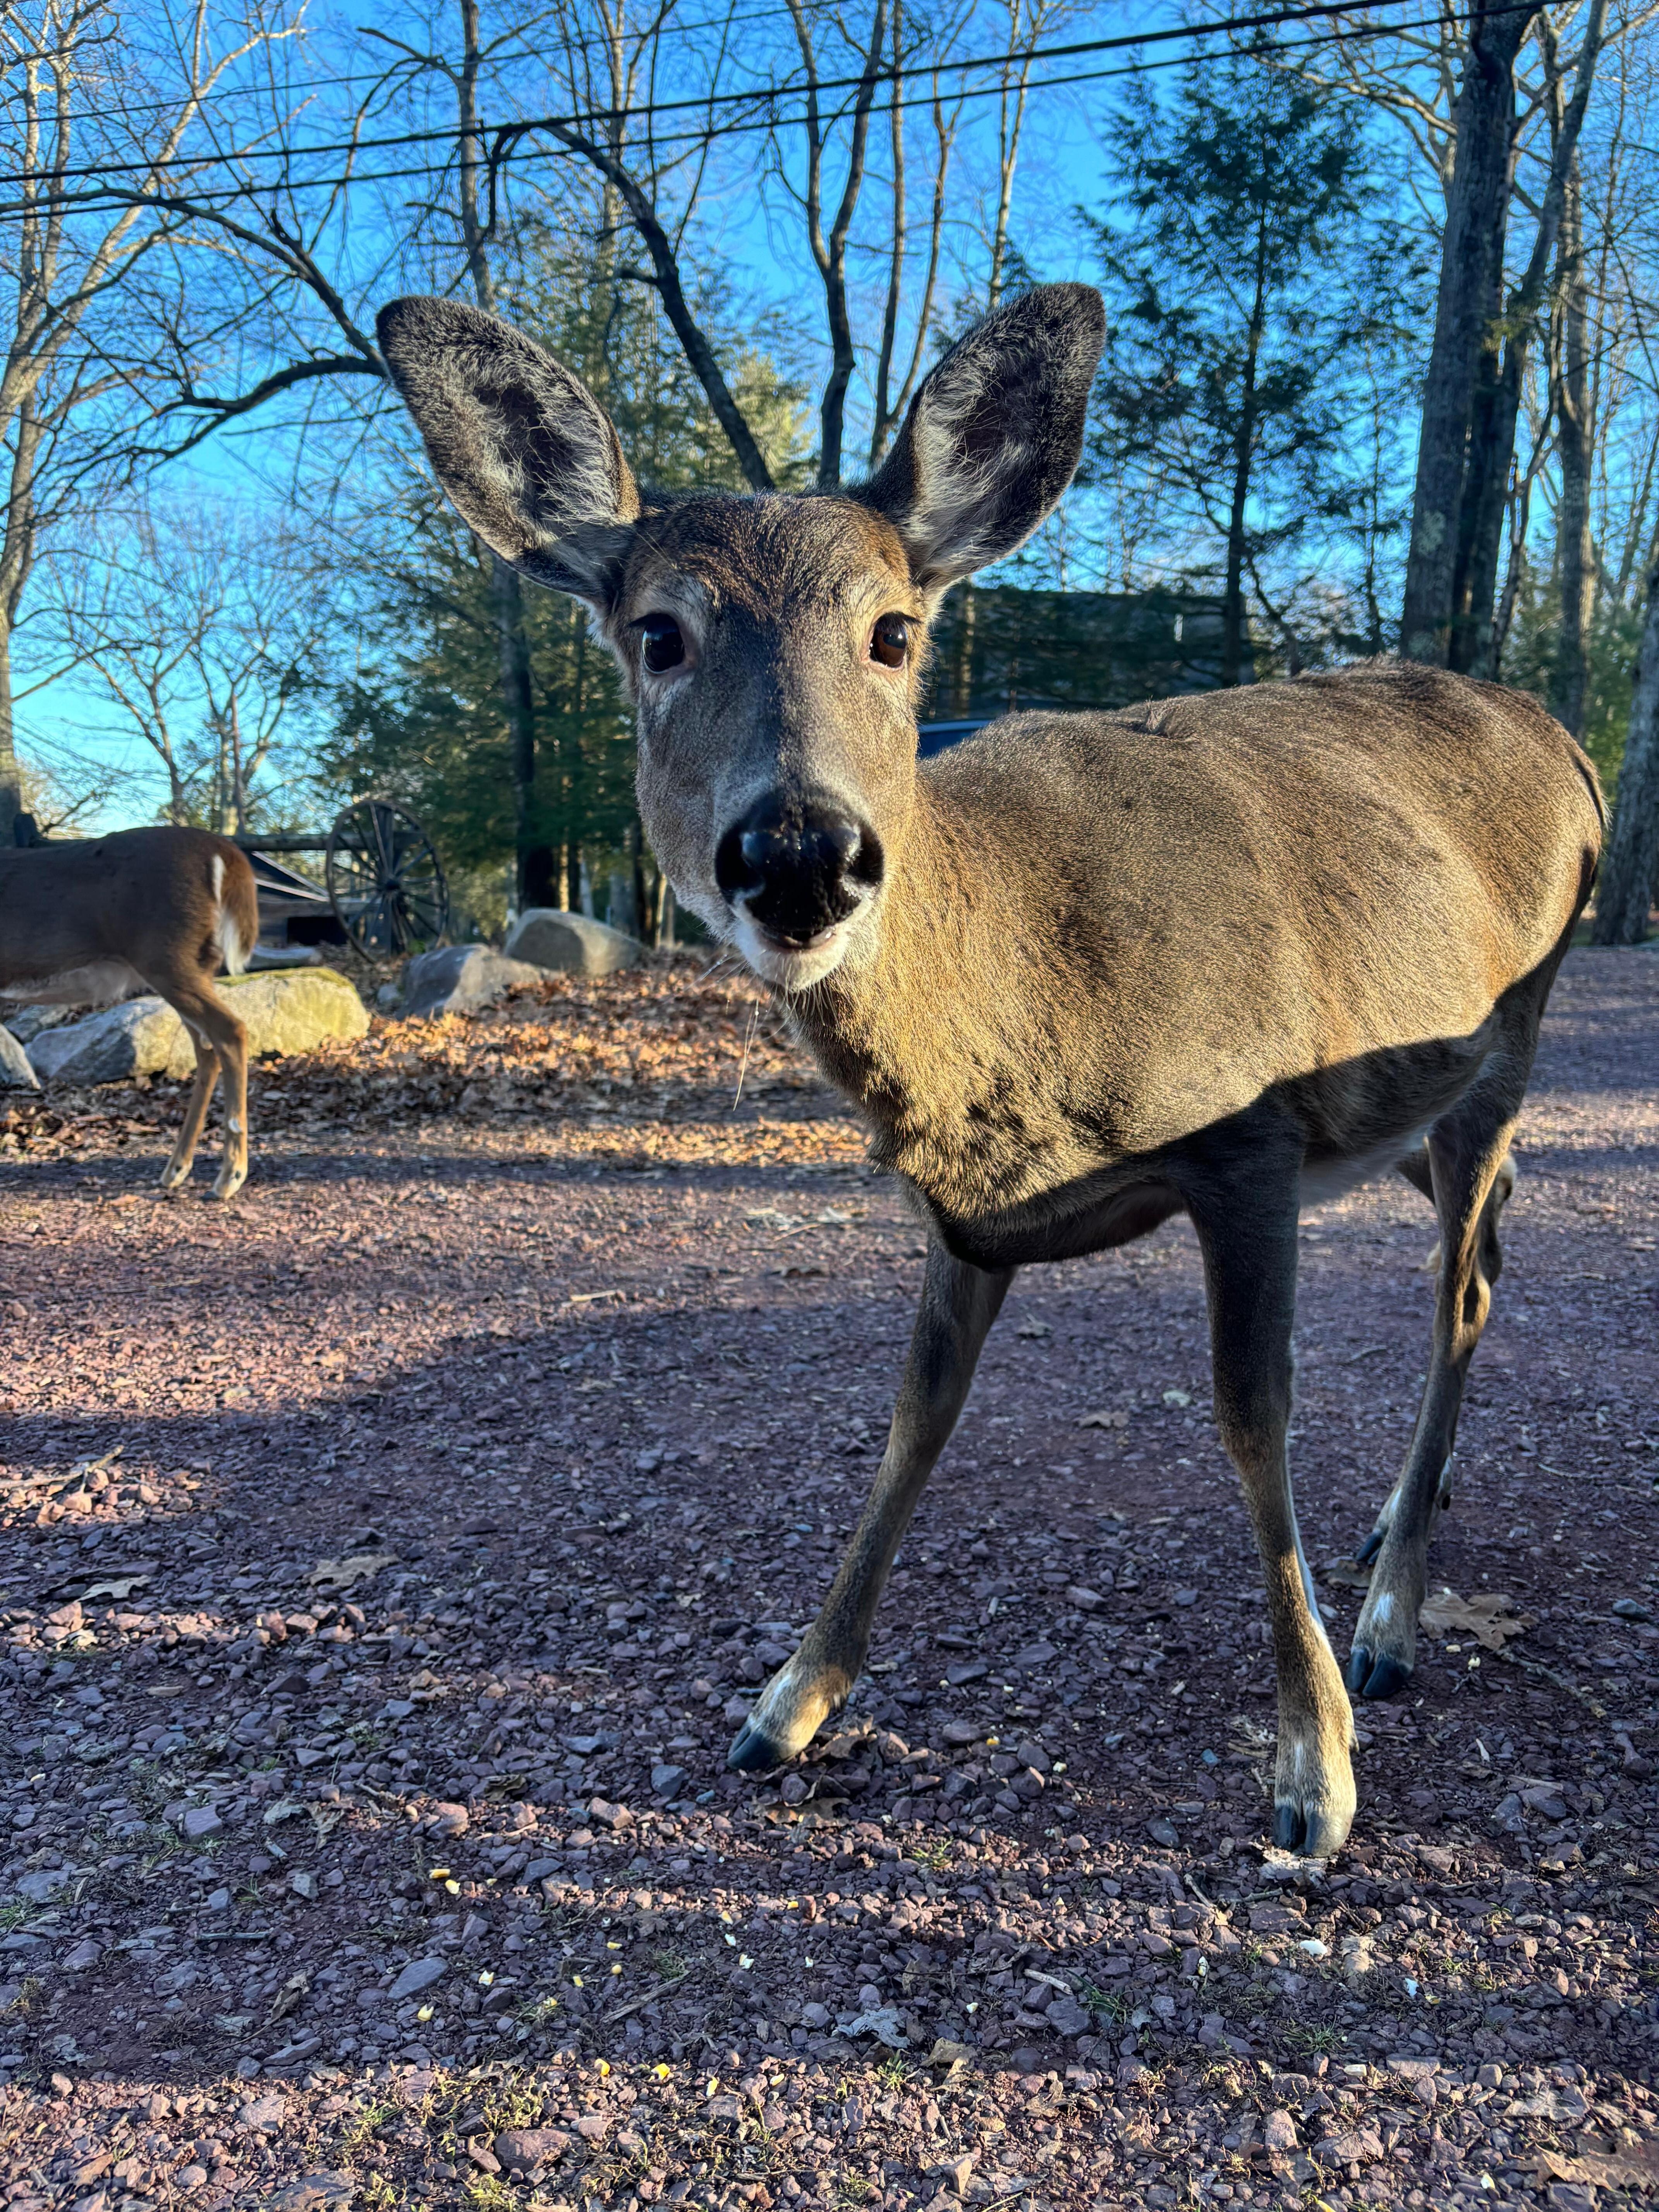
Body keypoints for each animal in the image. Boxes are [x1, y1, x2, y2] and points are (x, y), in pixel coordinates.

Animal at [0, 825, 258, 1199]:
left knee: (231, 1031)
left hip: (166, 956)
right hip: (190, 965)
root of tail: (223, 850)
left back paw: (229, 1176)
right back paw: (176, 1170)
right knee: (207, 1048)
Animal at [377, 283, 1602, 1857]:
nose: (801, 850)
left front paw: (1313, 1768)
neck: (1017, 1031)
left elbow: (1250, 1415)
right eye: (657, 632)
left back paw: (1388, 1617)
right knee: (1487, 1244)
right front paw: (787, 1701)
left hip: (1511, 1037)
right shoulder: (958, 1216)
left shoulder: (1248, 1142)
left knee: (1463, 1285)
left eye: (895, 630)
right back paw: (1396, 1531)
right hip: (1410, 1108)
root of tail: (1567, 741)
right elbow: (914, 1418)